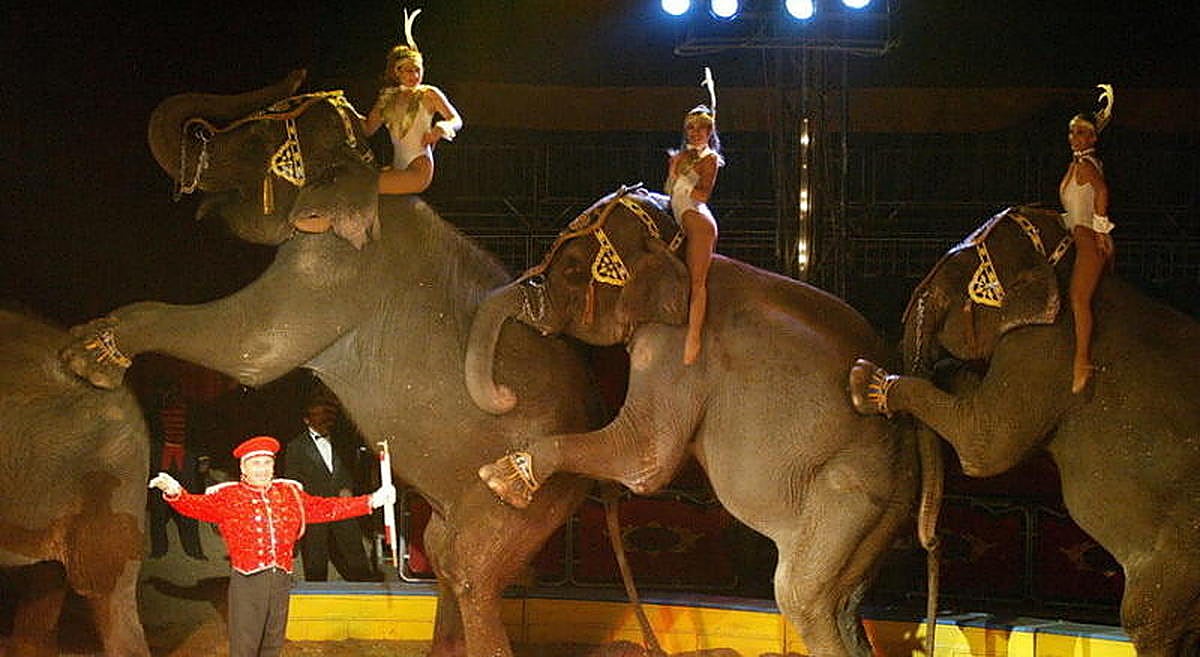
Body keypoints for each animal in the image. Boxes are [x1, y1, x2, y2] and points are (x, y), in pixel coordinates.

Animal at [58, 71, 605, 657]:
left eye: (259, 141)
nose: (202, 133)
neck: (366, 175)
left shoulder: (334, 273)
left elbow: (250, 346)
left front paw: (86, 357)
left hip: (522, 492)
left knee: (471, 575)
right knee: (442, 553)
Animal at [463, 185, 934, 657]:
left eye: (574, 268)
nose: (504, 396)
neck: (678, 251)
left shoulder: (672, 352)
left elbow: (644, 458)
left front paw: (500, 480)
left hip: (846, 494)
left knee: (801, 597)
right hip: (879, 517)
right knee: (845, 606)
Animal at [847, 206, 1200, 657]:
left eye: (946, 280)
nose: (931, 542)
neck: (1063, 265)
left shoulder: (1041, 350)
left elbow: (984, 447)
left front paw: (865, 382)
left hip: (1178, 560)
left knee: (1148, 620)